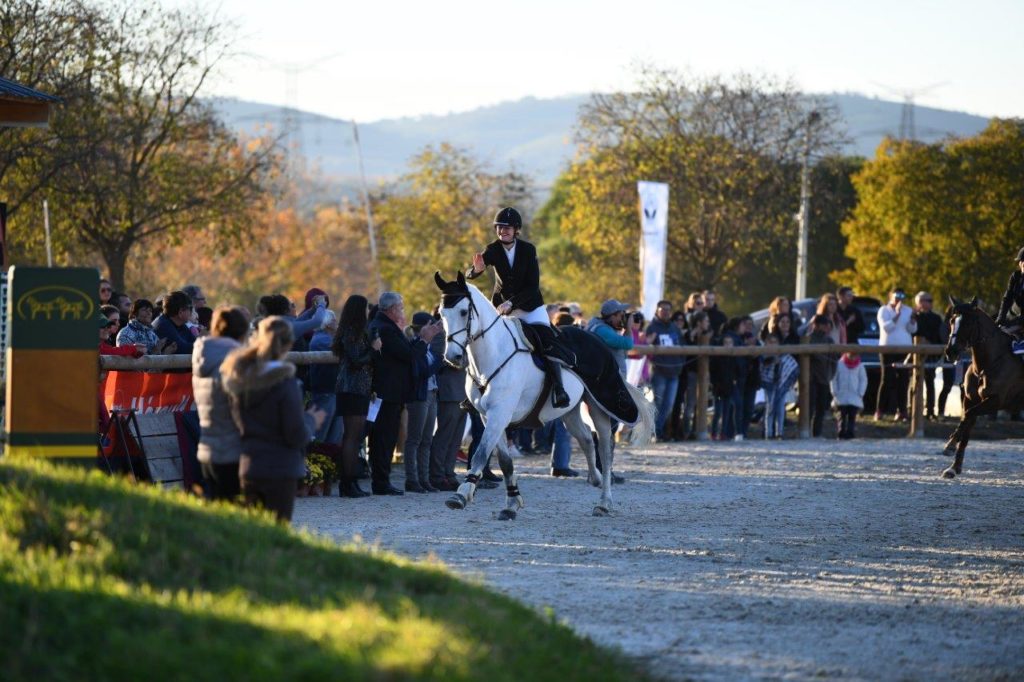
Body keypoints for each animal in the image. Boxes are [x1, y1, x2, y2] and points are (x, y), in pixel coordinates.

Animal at [436, 270, 651, 516]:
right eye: (441, 314)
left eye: (463, 312)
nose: (452, 357)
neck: (491, 356)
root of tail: (597, 340)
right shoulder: (487, 416)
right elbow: (504, 461)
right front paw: (511, 504)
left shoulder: (500, 413)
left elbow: (481, 454)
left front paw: (461, 495)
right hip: (570, 412)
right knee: (586, 438)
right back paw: (594, 479)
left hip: (599, 405)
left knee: (605, 450)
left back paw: (604, 501)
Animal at [942, 296, 1024, 477]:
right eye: (952, 320)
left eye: (967, 323)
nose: (951, 351)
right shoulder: (970, 400)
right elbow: (966, 424)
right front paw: (953, 468)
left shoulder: (995, 401)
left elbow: (968, 416)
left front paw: (950, 445)